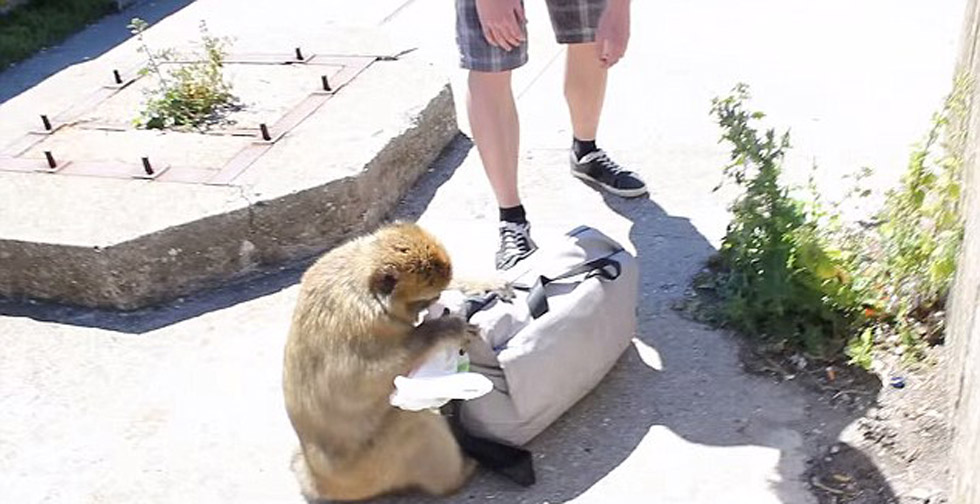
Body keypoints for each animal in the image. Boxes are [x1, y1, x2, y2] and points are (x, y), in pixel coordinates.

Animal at [284, 222, 498, 502]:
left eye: (436, 295)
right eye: (425, 299)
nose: (430, 306)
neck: (362, 283)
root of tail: (316, 479)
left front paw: (480, 285)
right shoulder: (363, 324)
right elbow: (365, 379)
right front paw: (445, 329)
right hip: (369, 470)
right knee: (415, 419)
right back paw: (456, 477)